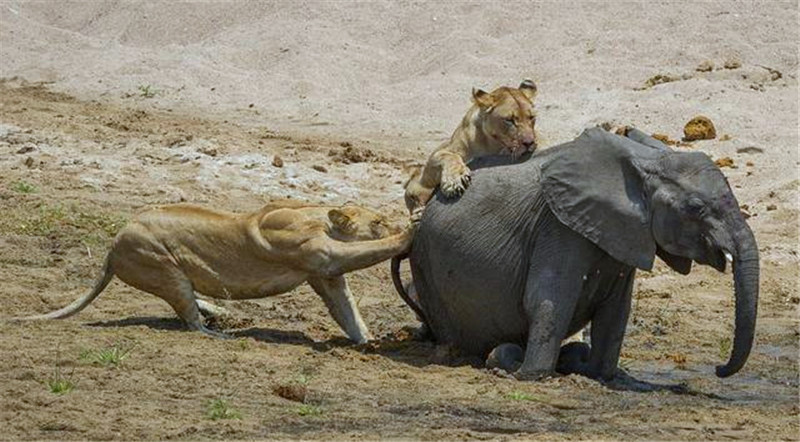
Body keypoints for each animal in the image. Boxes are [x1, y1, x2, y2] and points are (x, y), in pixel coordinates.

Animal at [396, 127, 760, 380]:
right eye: (696, 208)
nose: (718, 369)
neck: (643, 161)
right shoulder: (557, 227)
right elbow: (549, 299)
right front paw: (530, 376)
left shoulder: (624, 236)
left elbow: (615, 312)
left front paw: (599, 373)